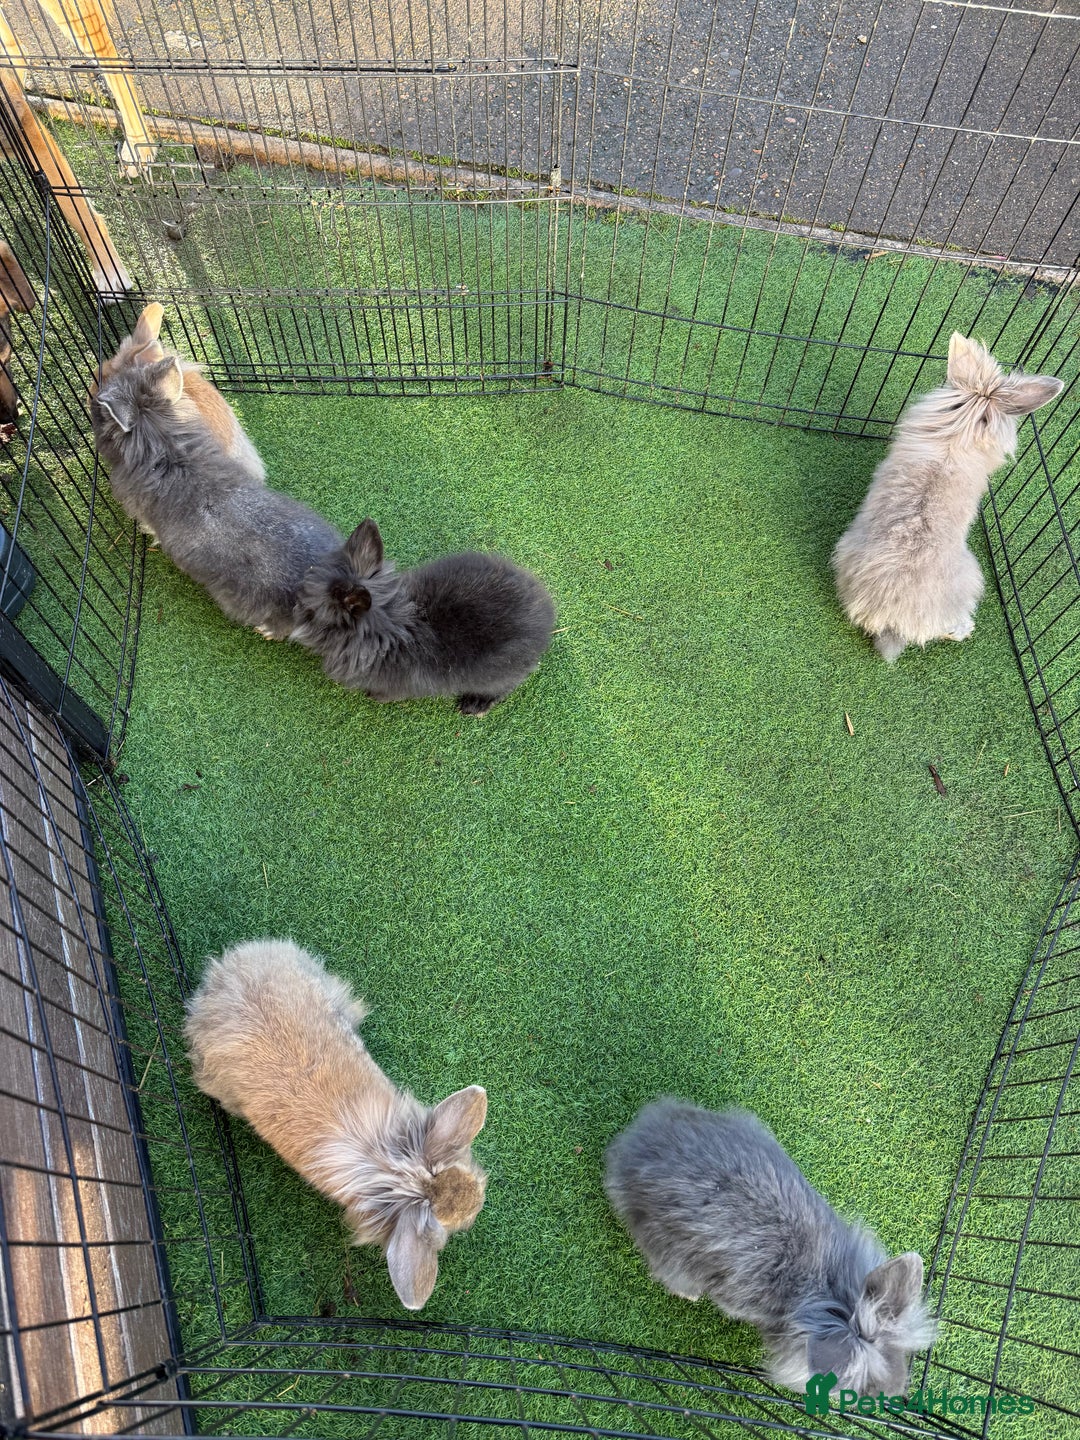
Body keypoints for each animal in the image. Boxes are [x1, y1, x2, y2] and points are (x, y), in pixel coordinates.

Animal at [290, 517, 556, 714]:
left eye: (310, 612)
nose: (294, 610)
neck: (385, 633)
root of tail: (546, 613)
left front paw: (373, 696)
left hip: (500, 672)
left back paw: (474, 706)